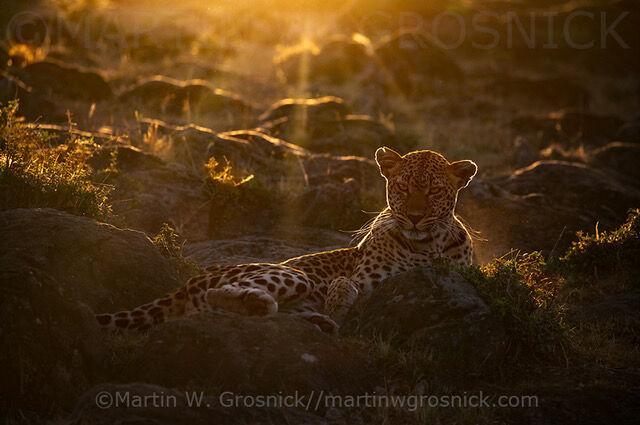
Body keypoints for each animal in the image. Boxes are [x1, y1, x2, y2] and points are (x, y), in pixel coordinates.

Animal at [95, 147, 476, 332]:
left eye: (434, 191)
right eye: (401, 188)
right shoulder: (364, 278)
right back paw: (258, 303)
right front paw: (338, 301)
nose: (414, 216)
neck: (427, 245)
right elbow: (346, 285)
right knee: (215, 300)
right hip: (291, 273)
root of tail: (190, 280)